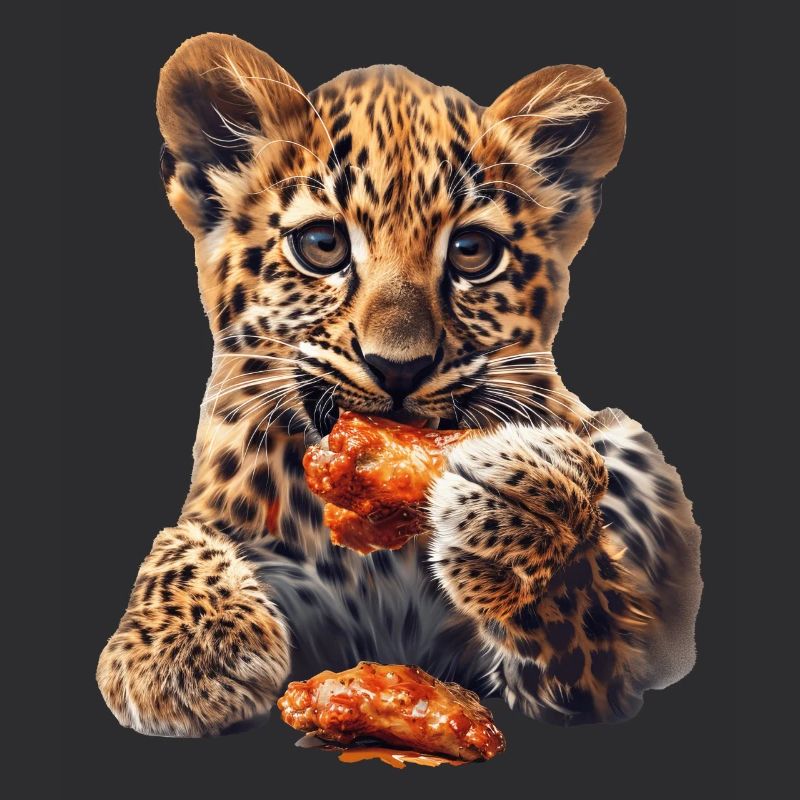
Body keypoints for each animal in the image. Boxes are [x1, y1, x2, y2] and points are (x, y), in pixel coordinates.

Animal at [97, 33, 702, 737]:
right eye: (323, 244)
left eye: (471, 251)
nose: (400, 367)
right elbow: (179, 541)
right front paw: (187, 651)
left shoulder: (601, 668)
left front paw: (529, 519)